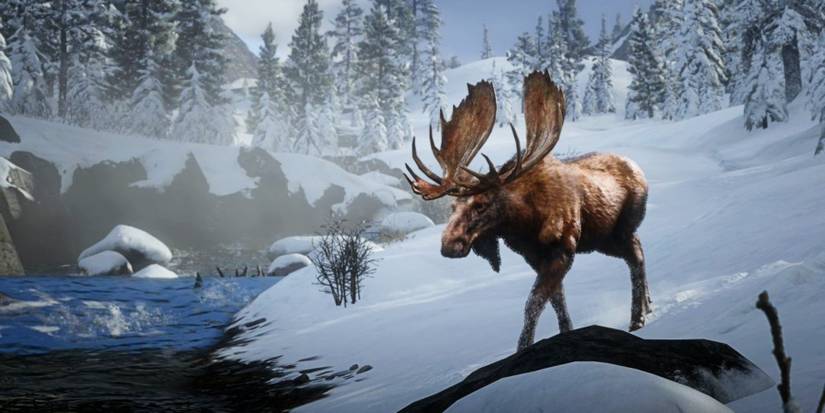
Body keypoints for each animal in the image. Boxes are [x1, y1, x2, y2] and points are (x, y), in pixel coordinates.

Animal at [404, 71, 652, 351]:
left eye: (482, 204)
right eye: (453, 207)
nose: (448, 245)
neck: (525, 222)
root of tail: (639, 170)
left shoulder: (563, 249)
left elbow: (533, 302)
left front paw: (524, 346)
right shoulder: (533, 257)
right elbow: (556, 301)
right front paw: (566, 333)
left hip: (620, 230)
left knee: (636, 257)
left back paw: (638, 318)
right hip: (603, 240)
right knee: (637, 251)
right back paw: (647, 306)